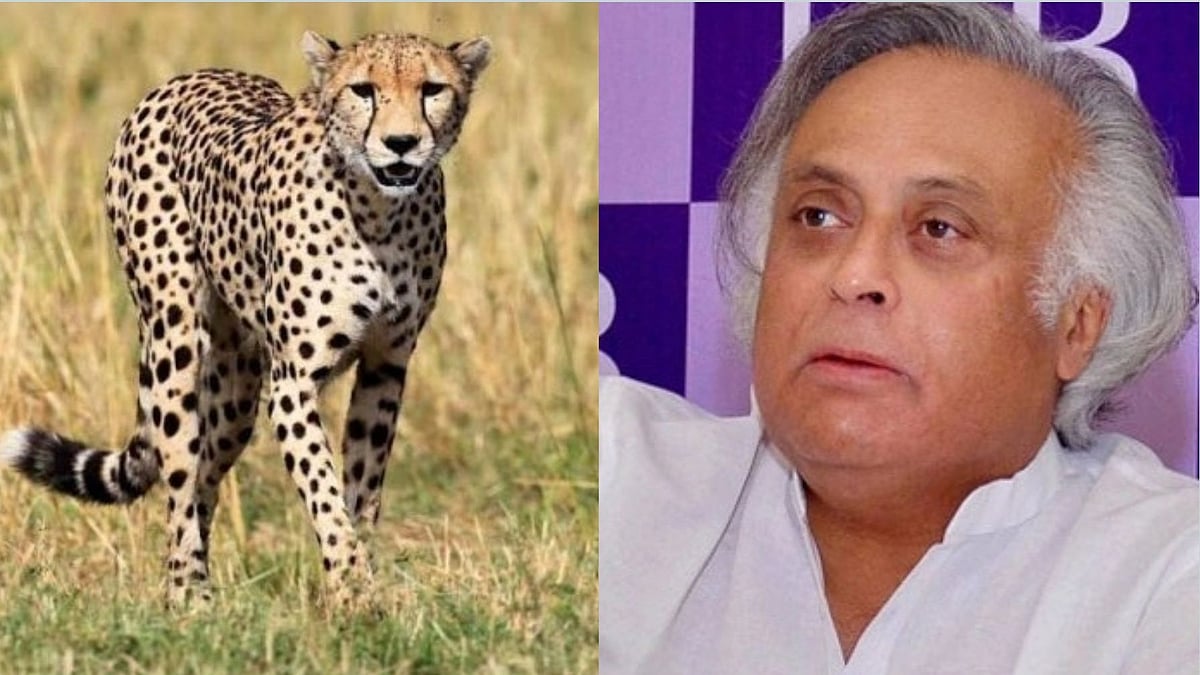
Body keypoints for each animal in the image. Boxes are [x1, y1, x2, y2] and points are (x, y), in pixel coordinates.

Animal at [0, 30, 490, 607]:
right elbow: (324, 491)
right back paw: (188, 596)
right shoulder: (293, 383)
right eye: (363, 90)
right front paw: (352, 590)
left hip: (237, 388)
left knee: (205, 473)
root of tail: (186, 78)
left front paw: (362, 582)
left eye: (432, 89)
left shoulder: (385, 367)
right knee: (180, 475)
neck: (379, 212)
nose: (401, 143)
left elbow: (361, 492)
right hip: (174, 342)